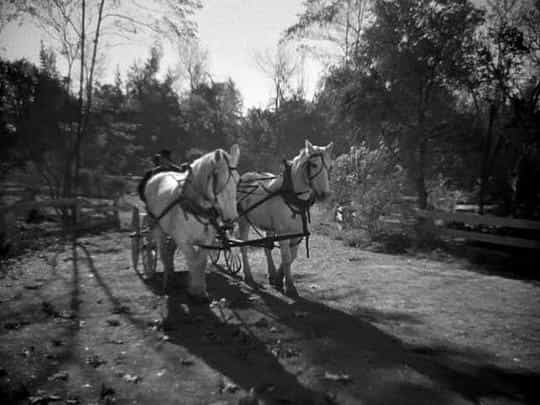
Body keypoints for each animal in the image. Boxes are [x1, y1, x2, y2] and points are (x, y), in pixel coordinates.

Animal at [140, 144, 239, 300]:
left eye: (238, 179)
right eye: (220, 179)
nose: (231, 219)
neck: (196, 207)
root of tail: (158, 175)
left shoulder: (206, 240)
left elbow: (201, 261)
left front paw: (199, 289)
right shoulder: (184, 240)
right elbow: (192, 260)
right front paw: (195, 289)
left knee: (169, 251)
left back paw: (172, 273)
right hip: (158, 226)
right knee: (161, 250)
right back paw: (166, 279)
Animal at [237, 140, 332, 296]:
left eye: (330, 166)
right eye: (314, 165)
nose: (325, 195)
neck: (293, 197)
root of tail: (245, 177)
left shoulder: (296, 234)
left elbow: (291, 256)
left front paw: (278, 278)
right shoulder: (283, 233)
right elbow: (286, 257)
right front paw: (290, 286)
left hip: (269, 226)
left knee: (267, 247)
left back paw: (271, 273)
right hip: (243, 220)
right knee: (243, 245)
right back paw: (248, 275)